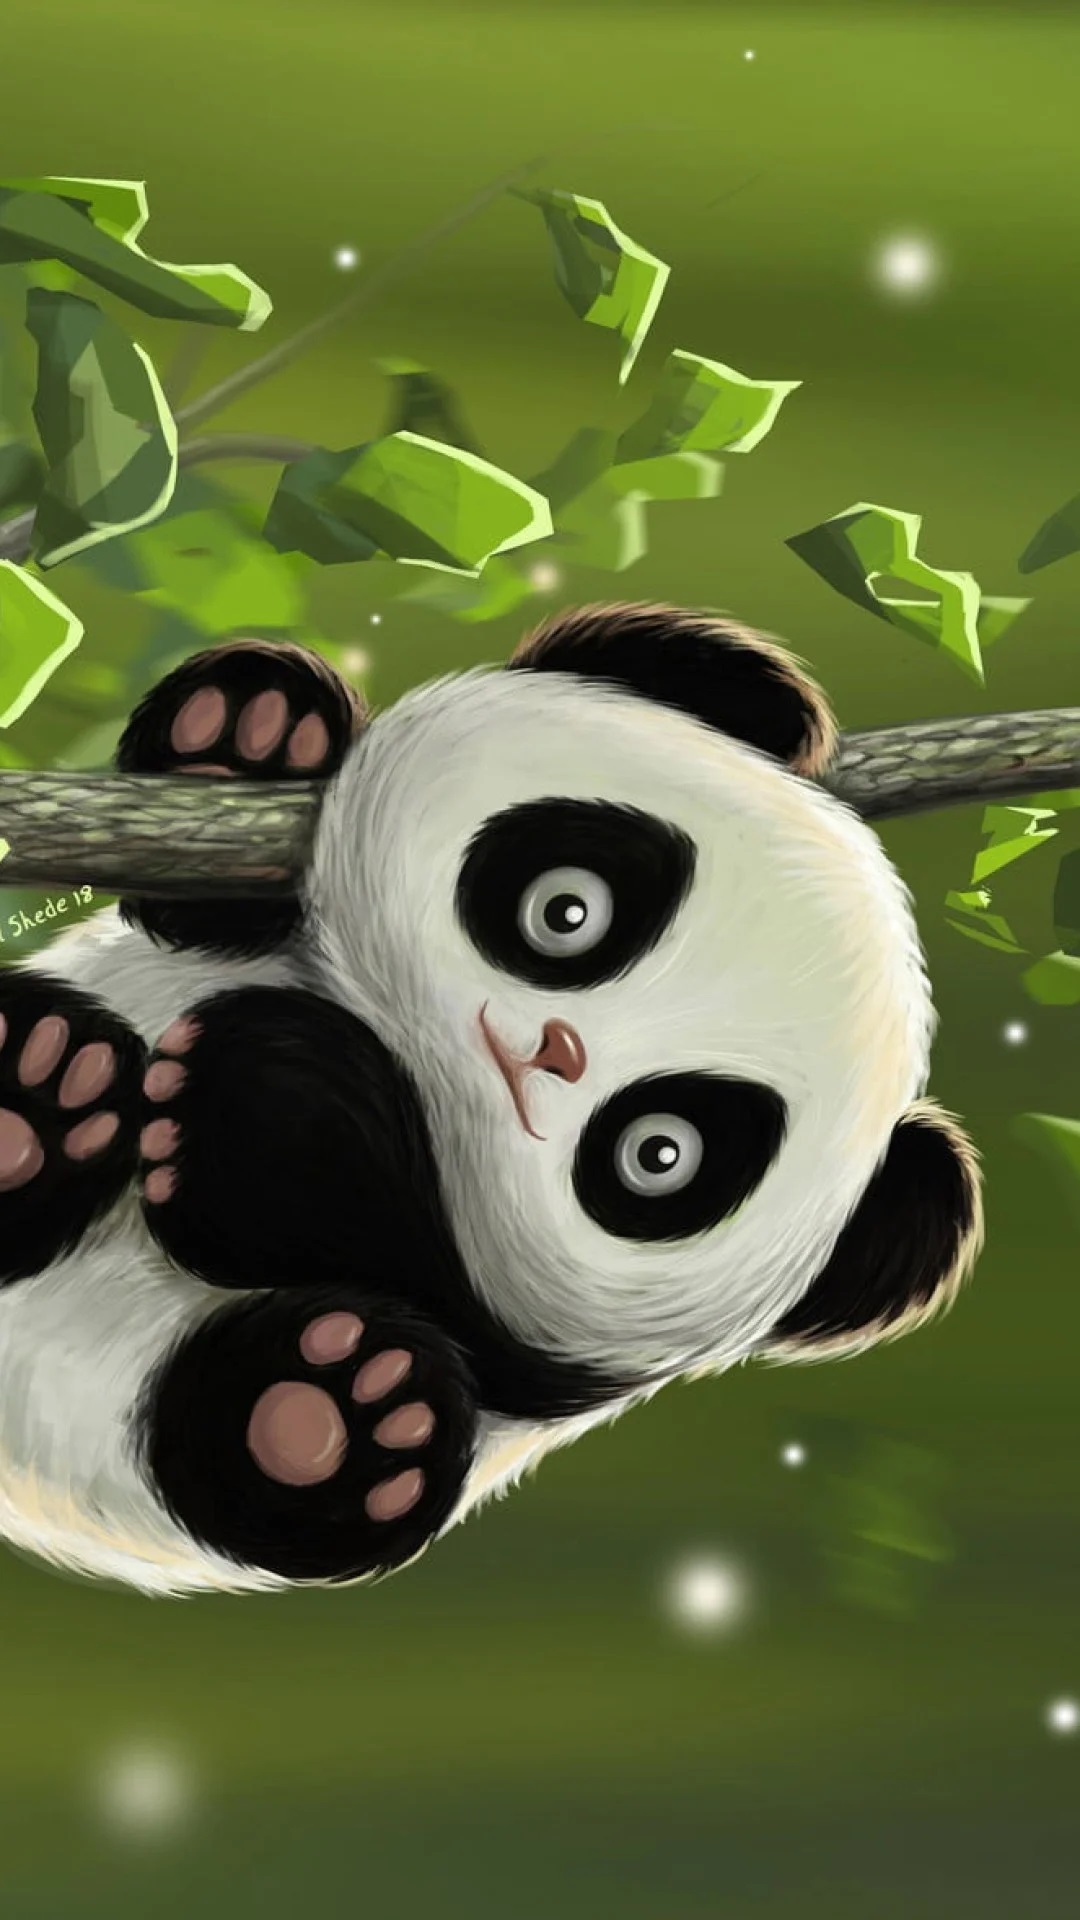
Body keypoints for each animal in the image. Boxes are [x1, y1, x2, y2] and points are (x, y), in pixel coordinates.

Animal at [0, 600, 982, 1596]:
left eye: (660, 1153)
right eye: (568, 910)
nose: (554, 1052)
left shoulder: (533, 1349)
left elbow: (435, 1279)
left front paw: (257, 1100)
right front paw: (251, 731)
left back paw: (329, 1414)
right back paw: (42, 1087)